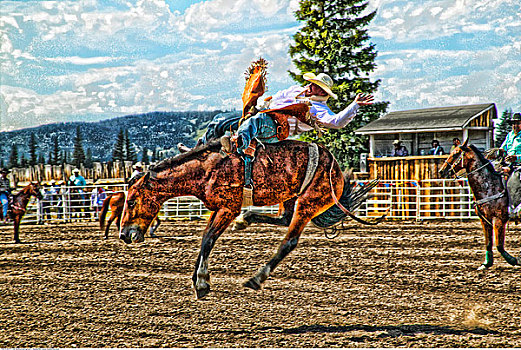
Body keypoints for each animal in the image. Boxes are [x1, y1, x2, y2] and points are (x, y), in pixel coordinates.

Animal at [119, 139, 378, 298]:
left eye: (130, 201)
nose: (123, 234)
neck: (207, 169)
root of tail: (335, 167)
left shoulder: (227, 208)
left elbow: (209, 239)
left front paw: (201, 282)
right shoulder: (218, 208)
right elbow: (204, 239)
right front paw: (199, 279)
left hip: (307, 202)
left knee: (289, 241)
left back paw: (256, 278)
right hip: (289, 197)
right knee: (284, 218)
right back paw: (246, 219)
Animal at [436, 138, 516, 270]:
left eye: (455, 153)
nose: (441, 171)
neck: (490, 186)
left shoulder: (499, 219)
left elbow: (499, 245)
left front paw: (515, 260)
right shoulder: (484, 219)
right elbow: (488, 243)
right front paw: (486, 263)